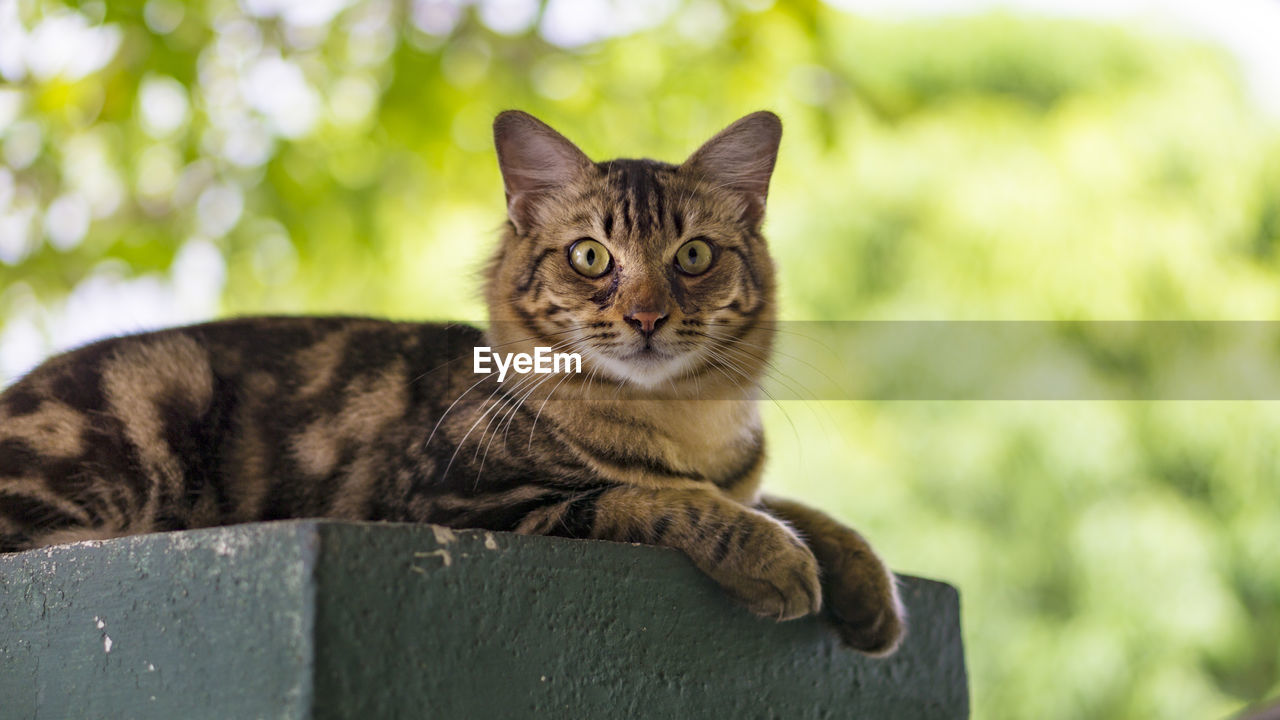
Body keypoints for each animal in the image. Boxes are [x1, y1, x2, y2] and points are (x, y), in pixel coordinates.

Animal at [0, 109, 911, 653]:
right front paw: (775, 560)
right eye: (591, 257)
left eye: (692, 256)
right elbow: (659, 500)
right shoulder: (473, 503)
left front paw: (869, 592)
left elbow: (804, 509)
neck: (685, 422)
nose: (648, 316)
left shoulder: (741, 475)